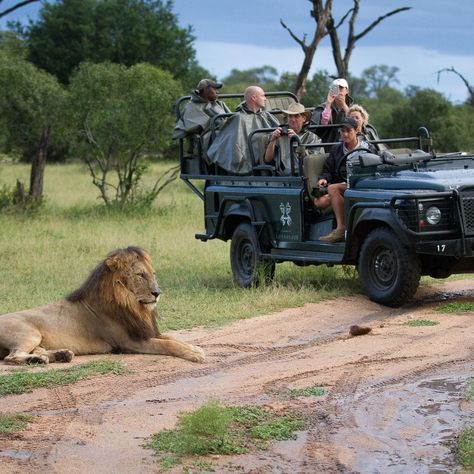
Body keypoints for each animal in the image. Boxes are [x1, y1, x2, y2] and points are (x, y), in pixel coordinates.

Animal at [0, 246, 204, 364]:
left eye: (153, 274)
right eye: (140, 275)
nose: (157, 293)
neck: (134, 305)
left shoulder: (145, 332)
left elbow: (172, 339)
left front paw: (195, 348)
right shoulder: (129, 342)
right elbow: (167, 345)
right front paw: (196, 354)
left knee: (36, 351)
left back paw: (58, 356)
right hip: (29, 334)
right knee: (12, 356)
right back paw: (38, 360)